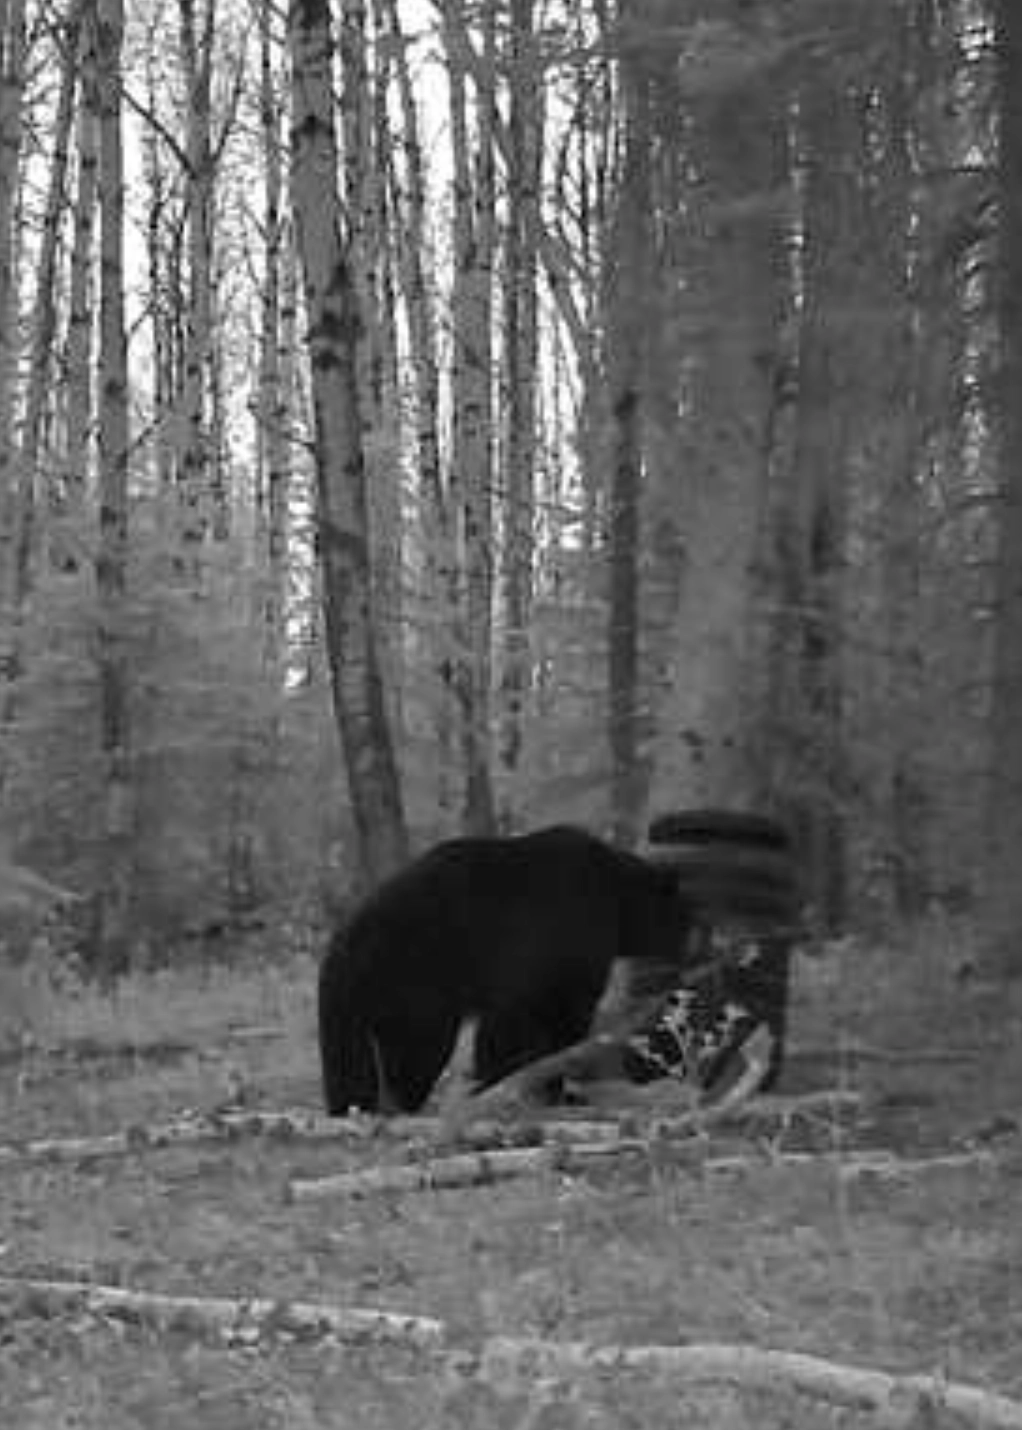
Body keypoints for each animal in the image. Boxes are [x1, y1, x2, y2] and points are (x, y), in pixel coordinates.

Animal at [318, 825, 695, 1115]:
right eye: (685, 921)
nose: (691, 951)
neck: (617, 898)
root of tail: (344, 941)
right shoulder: (562, 930)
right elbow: (547, 1015)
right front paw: (544, 1088)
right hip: (415, 977)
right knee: (419, 1045)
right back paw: (403, 1103)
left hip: (355, 1000)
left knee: (348, 1057)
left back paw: (354, 1106)